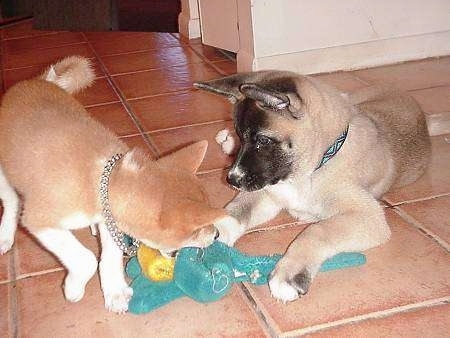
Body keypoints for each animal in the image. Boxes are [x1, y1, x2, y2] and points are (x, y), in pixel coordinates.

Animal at [0, 55, 225, 312]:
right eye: (195, 230)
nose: (217, 235)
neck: (103, 178)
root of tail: (39, 79)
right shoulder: (40, 221)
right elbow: (86, 258)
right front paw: (74, 288)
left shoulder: (110, 218)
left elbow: (110, 255)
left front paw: (115, 290)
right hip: (3, 175)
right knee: (12, 202)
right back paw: (5, 236)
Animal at [195, 70, 430, 302]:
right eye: (241, 136)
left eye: (263, 140)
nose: (231, 180)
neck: (312, 167)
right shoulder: (267, 192)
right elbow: (236, 210)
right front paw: (211, 230)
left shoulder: (368, 216)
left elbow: (317, 231)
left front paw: (289, 274)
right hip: (353, 99)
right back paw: (225, 140)